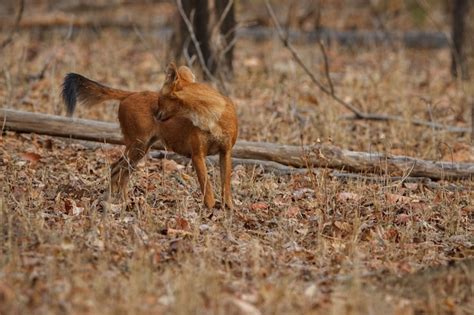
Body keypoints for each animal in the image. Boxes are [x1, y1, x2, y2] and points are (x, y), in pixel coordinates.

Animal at [63, 64, 239, 210]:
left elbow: (226, 184)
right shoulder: (197, 154)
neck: (211, 115)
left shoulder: (226, 151)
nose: (155, 113)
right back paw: (117, 202)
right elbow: (206, 185)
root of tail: (132, 93)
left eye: (160, 98)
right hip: (138, 145)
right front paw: (210, 210)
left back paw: (120, 201)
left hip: (141, 149)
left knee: (122, 171)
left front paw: (229, 208)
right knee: (116, 168)